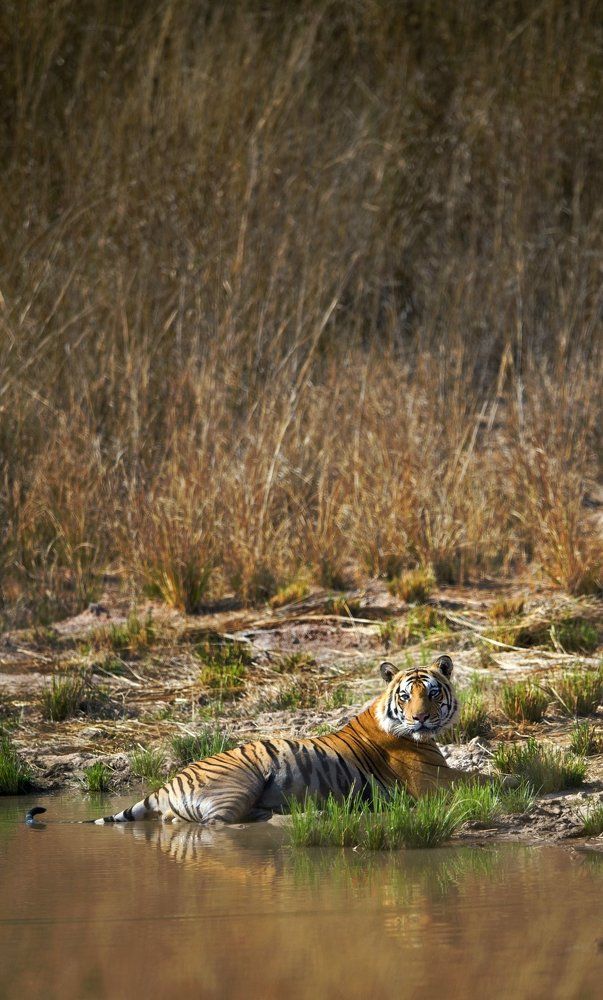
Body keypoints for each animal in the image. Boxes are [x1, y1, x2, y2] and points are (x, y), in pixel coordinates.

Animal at [27, 654, 497, 828]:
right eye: (406, 695)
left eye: (432, 693)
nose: (420, 717)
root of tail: (167, 783)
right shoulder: (432, 782)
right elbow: (491, 779)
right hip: (240, 780)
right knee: (214, 825)